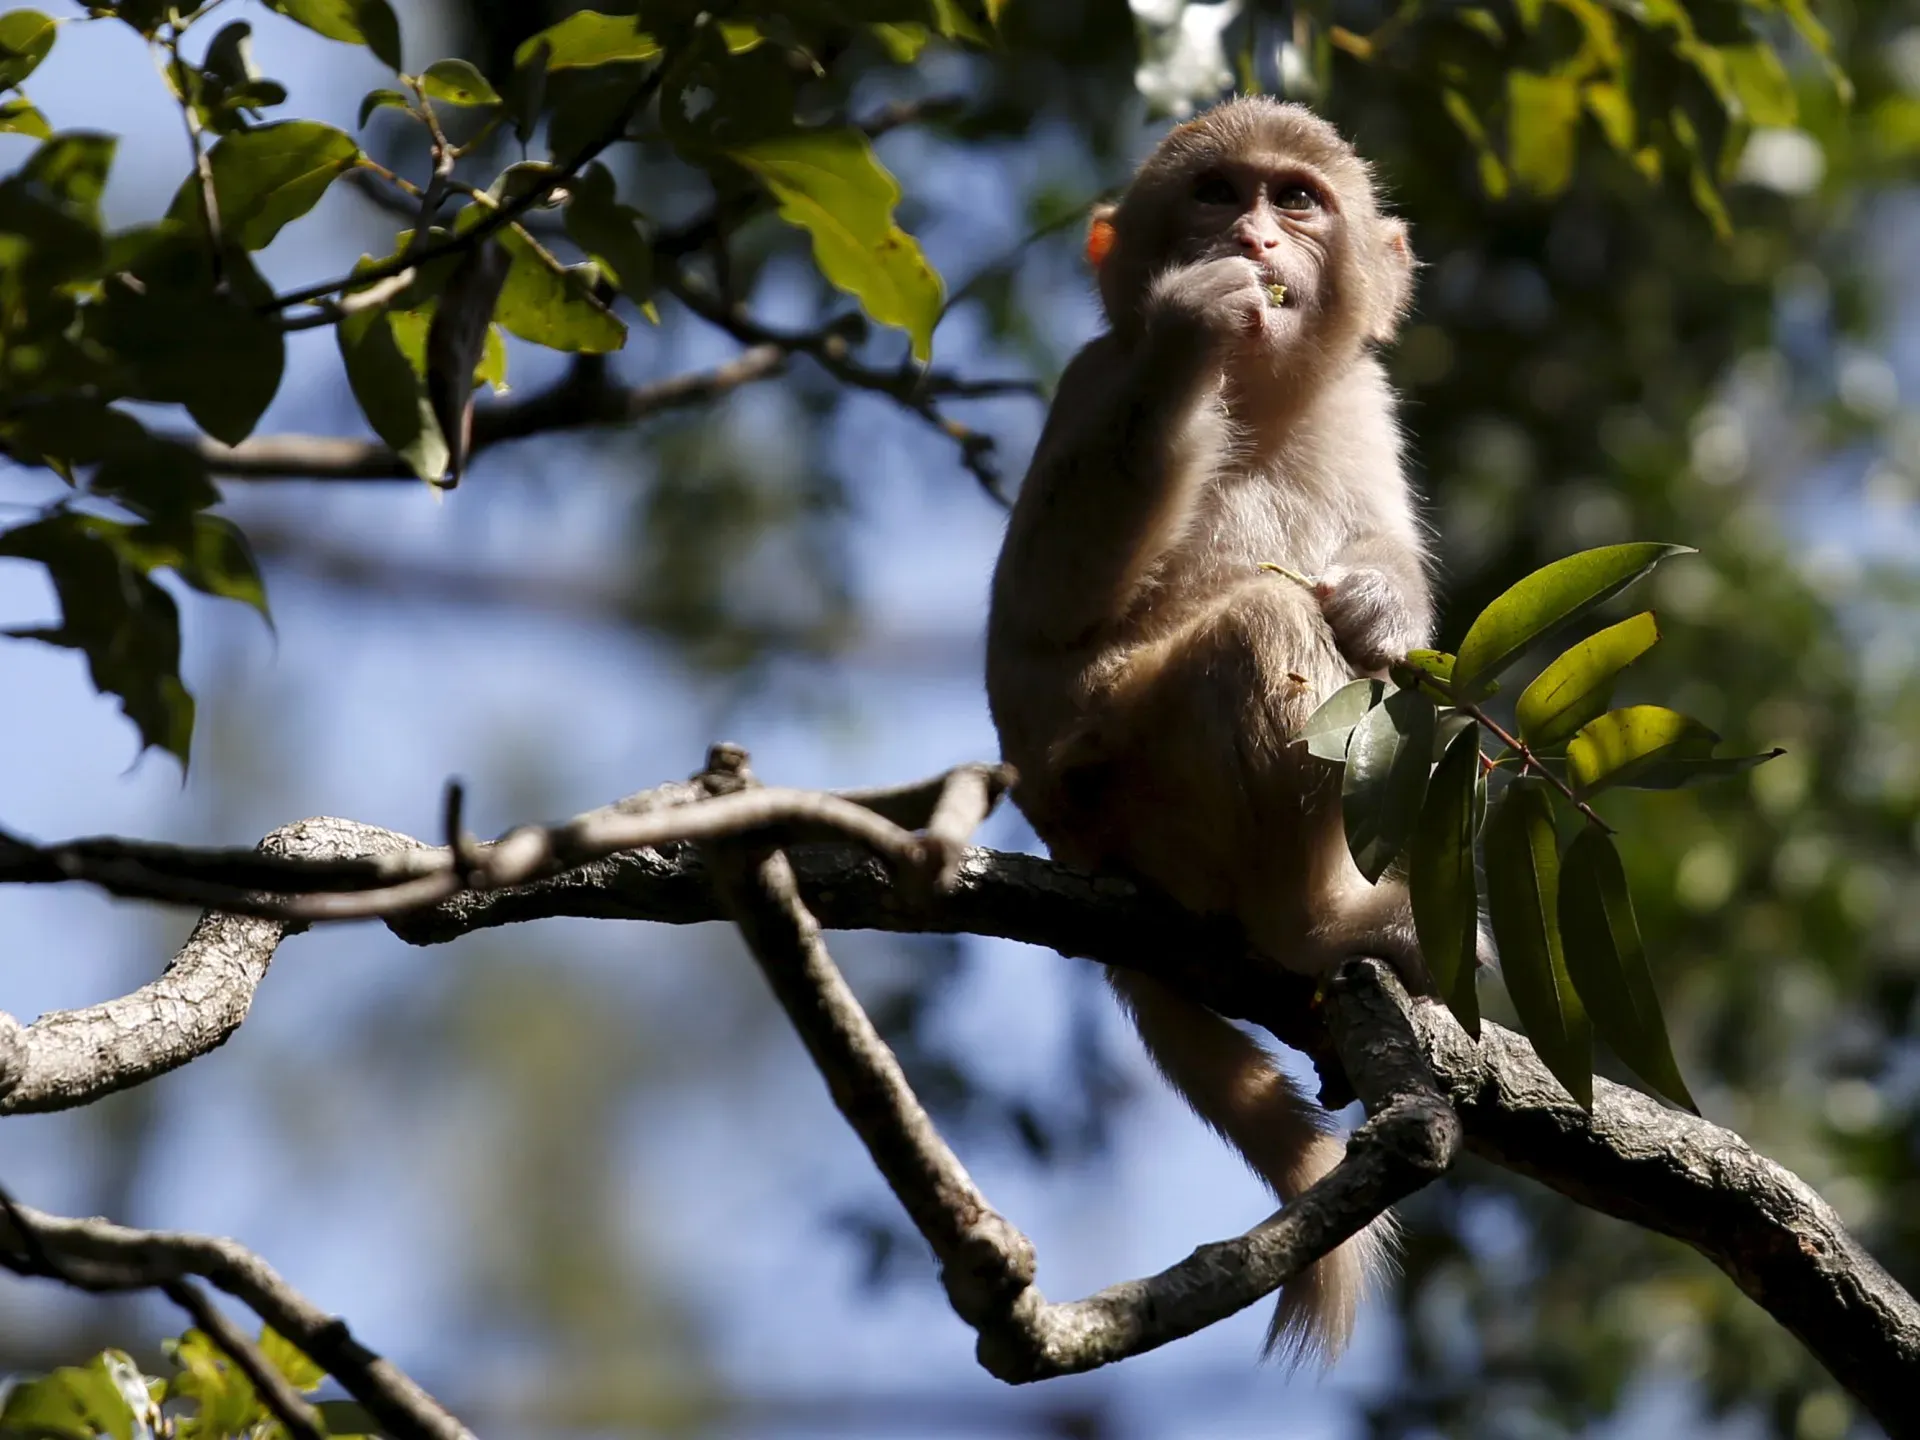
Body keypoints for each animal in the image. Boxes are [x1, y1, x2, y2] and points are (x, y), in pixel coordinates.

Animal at [990, 98, 1428, 1367]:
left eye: (1297, 199)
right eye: (1218, 193)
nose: (1256, 240)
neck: (1268, 399)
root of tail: (1078, 851)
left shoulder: (1364, 404)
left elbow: (1393, 597)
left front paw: (1383, 606)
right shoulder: (1094, 380)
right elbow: (1040, 621)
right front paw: (1197, 323)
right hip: (1126, 790)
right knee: (1262, 632)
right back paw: (1312, 928)